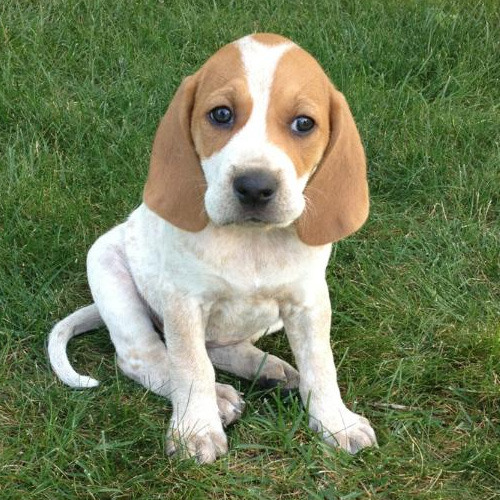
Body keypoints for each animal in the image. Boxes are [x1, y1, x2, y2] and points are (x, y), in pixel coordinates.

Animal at [47, 33, 376, 462]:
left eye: (304, 123)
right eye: (221, 115)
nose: (254, 186)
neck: (250, 243)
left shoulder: (308, 300)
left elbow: (320, 366)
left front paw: (336, 421)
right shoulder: (183, 301)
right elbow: (191, 366)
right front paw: (196, 429)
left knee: (221, 345)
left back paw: (270, 369)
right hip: (107, 268)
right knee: (146, 357)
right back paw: (219, 398)